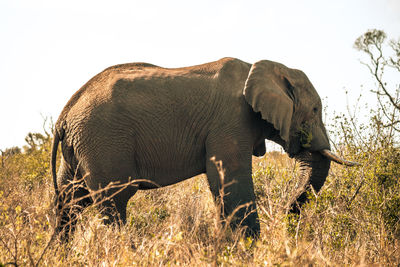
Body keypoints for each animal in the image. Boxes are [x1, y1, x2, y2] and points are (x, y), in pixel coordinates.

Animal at [50, 57, 356, 241]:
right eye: (315, 110)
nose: (285, 216)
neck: (264, 67)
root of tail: (65, 114)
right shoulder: (231, 121)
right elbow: (230, 182)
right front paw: (250, 247)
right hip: (103, 141)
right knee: (114, 201)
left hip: (80, 147)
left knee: (71, 202)